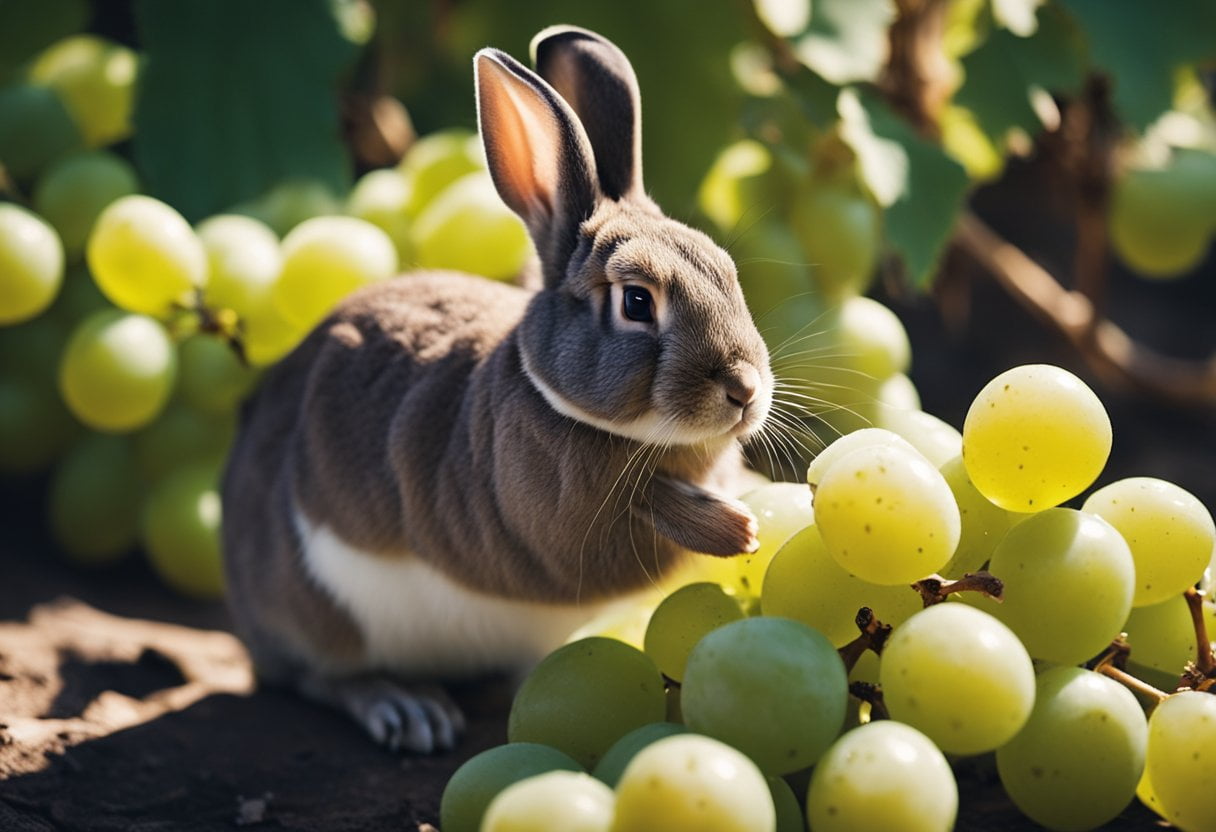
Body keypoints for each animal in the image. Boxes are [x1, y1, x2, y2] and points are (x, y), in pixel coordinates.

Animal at [221, 24, 774, 754]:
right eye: (635, 301)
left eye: (727, 272)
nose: (744, 390)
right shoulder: (560, 517)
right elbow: (638, 514)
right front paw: (737, 529)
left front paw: (757, 503)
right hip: (317, 611)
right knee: (320, 676)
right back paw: (407, 709)